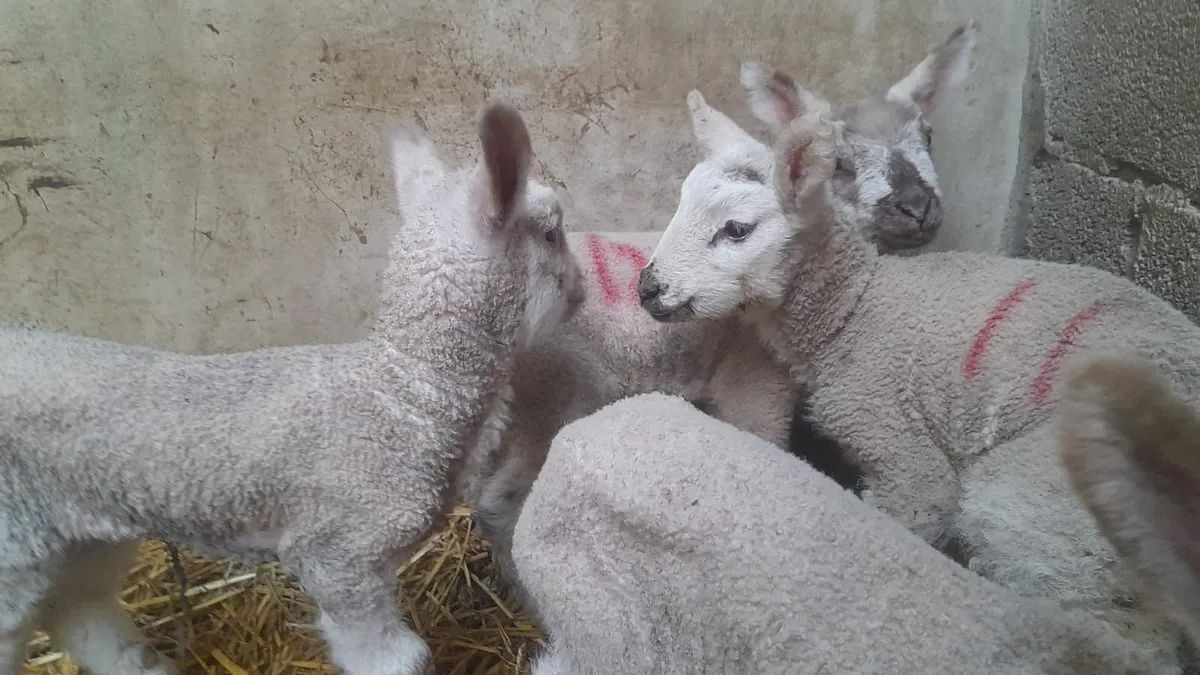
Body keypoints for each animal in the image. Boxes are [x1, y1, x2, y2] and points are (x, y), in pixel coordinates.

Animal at [0, 102, 585, 675]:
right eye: (552, 234)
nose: (581, 292)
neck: (406, 396)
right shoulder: (338, 557)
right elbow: (394, 658)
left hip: (79, 537)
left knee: (81, 610)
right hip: (14, 546)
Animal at [469, 25, 978, 592]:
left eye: (928, 137)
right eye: (842, 164)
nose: (918, 208)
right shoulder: (753, 386)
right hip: (553, 402)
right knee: (501, 506)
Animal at [635, 82, 1200, 665]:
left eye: (736, 230)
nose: (647, 289)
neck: (855, 307)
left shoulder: (893, 434)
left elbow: (917, 503)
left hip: (1039, 504)